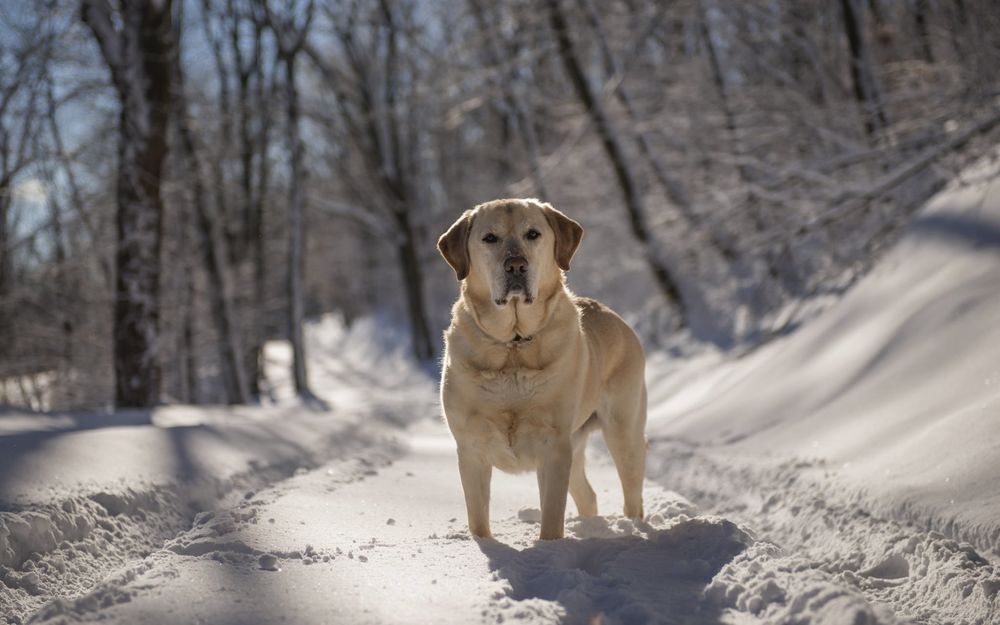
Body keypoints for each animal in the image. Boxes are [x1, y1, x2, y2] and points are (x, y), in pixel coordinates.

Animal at [440, 197, 648, 540]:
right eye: (490, 238)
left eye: (533, 234)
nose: (516, 265)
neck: (513, 346)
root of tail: (614, 315)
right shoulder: (470, 448)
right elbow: (478, 518)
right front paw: (482, 544)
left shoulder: (554, 447)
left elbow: (552, 515)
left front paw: (550, 546)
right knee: (588, 495)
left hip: (623, 430)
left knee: (632, 490)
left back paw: (634, 527)